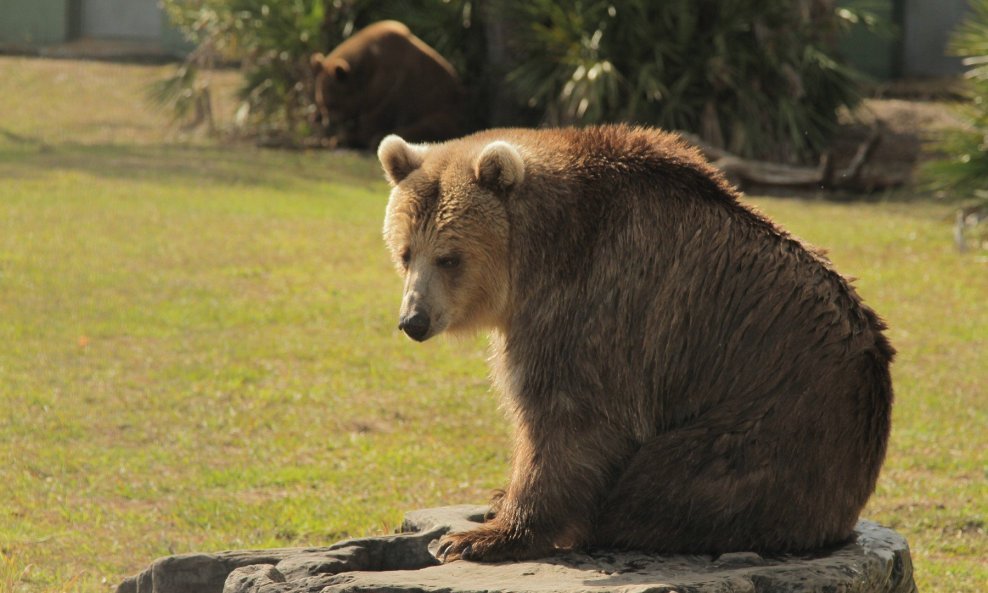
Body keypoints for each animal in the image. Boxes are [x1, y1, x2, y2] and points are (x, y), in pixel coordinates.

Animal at [308, 20, 464, 150]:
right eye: (321, 103)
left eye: (332, 103)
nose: (328, 124)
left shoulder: (390, 87)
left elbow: (374, 119)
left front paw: (350, 138)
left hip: (439, 110)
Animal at [376, 123, 896, 560]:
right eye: (405, 253)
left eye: (449, 257)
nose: (413, 320)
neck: (541, 252)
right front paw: (495, 501)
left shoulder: (596, 304)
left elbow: (568, 420)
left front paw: (481, 537)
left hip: (769, 426)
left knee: (674, 479)